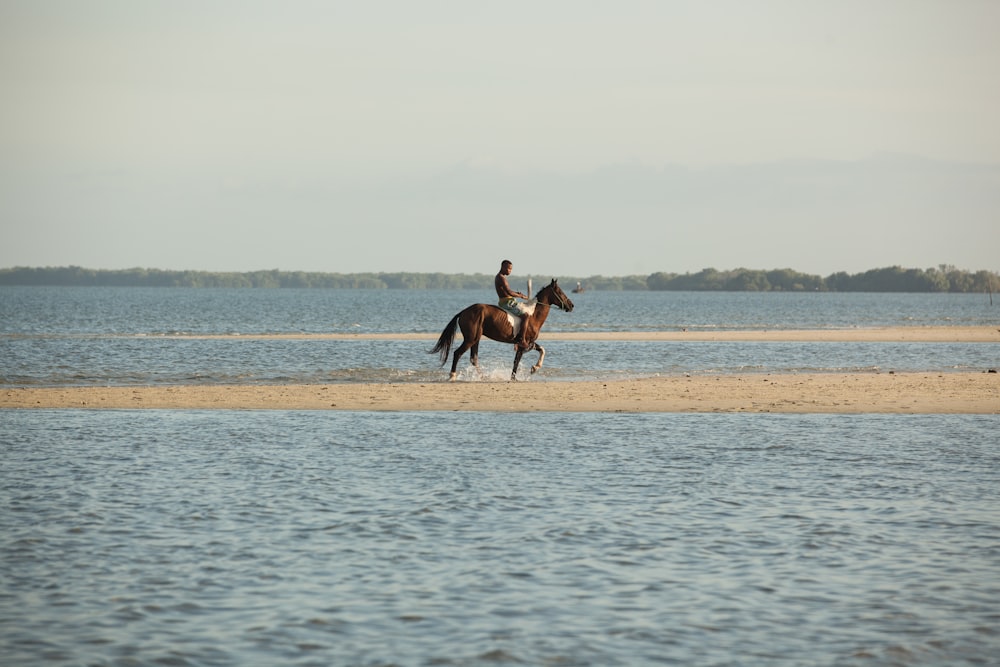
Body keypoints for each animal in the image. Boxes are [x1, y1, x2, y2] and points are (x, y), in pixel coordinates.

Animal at [432, 278, 580, 380]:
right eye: (560, 292)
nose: (572, 305)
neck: (534, 315)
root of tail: (464, 311)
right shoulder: (523, 344)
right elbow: (516, 361)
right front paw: (515, 377)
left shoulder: (529, 342)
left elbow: (541, 350)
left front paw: (534, 368)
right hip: (470, 339)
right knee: (458, 353)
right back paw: (452, 376)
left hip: (476, 339)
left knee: (474, 359)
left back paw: (483, 377)